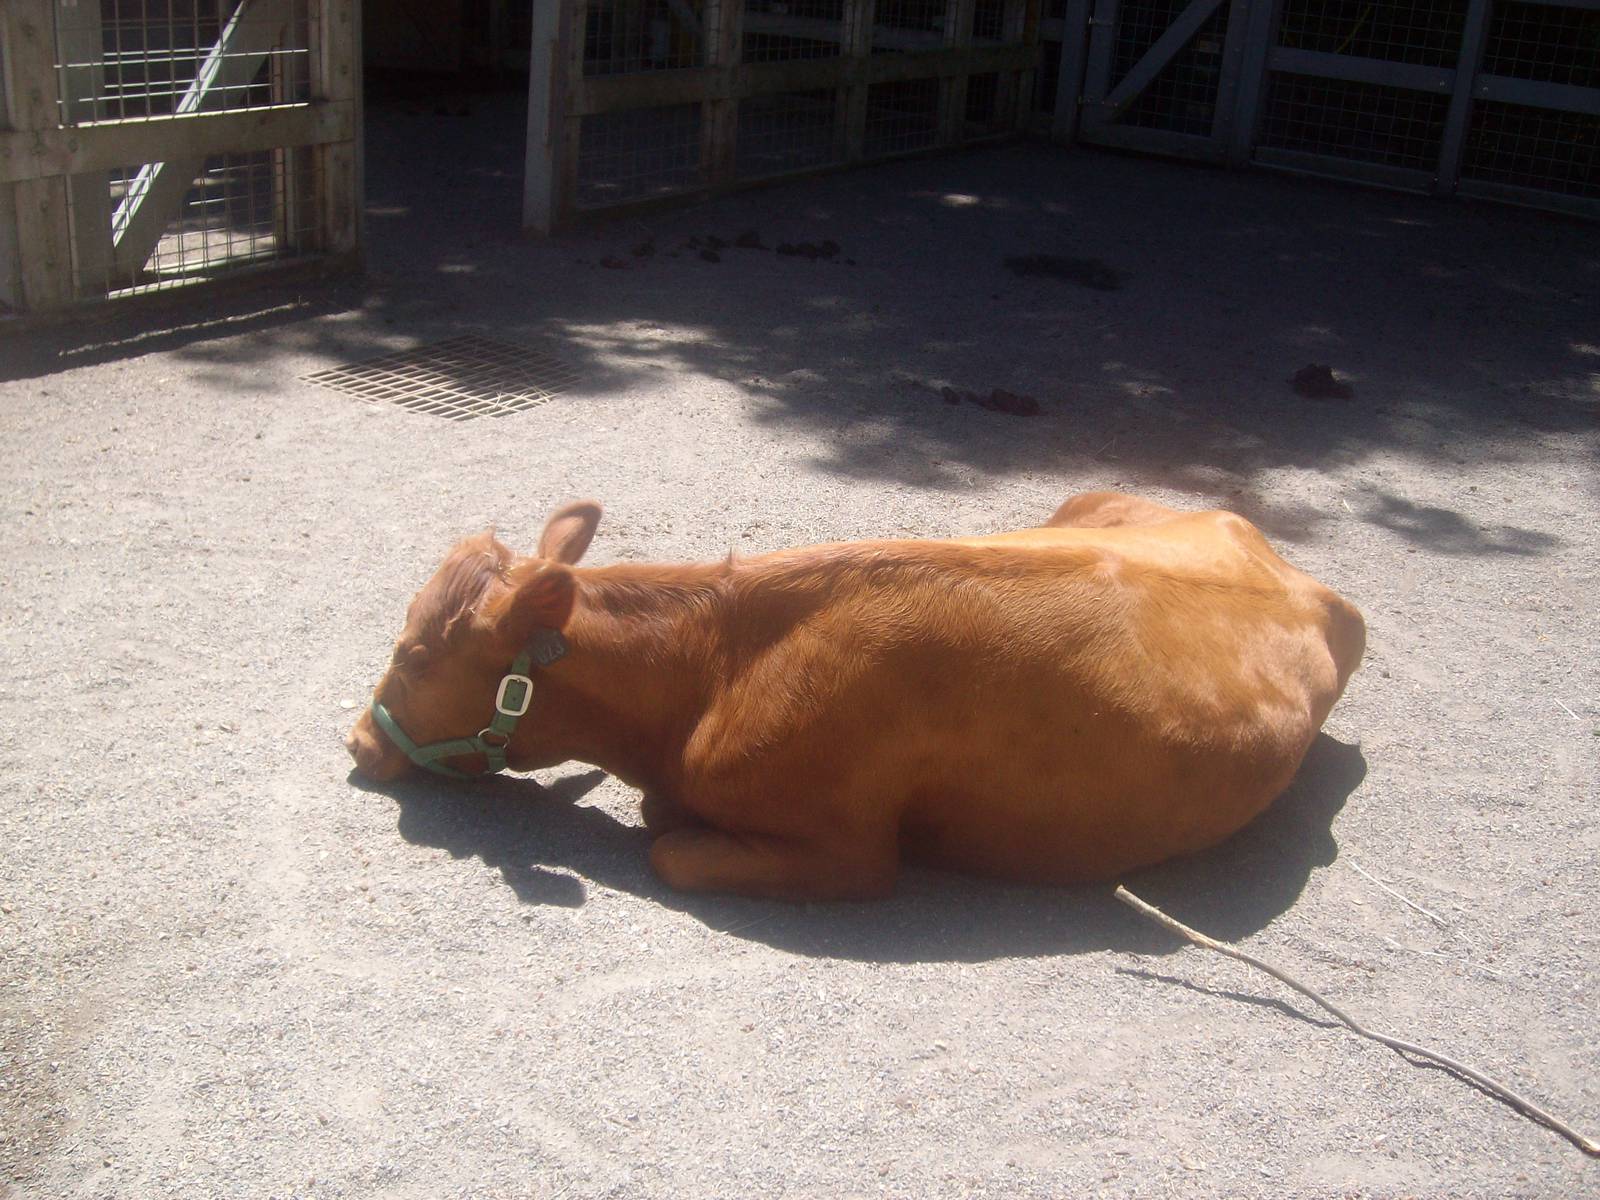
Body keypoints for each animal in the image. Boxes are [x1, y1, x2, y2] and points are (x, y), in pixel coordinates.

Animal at [346, 492, 1364, 901]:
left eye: (416, 654)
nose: (358, 740)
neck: (711, 672)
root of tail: (1309, 585)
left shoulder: (853, 852)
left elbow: (669, 848)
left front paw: (667, 820)